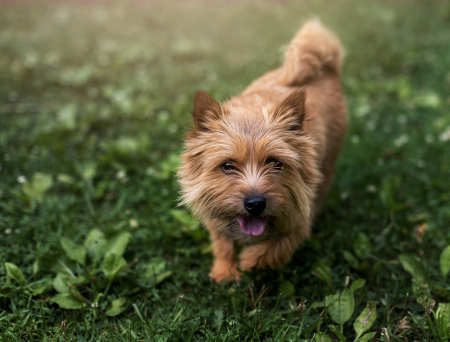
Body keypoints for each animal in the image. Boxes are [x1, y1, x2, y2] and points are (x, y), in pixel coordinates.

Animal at [178, 20, 348, 284]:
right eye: (227, 166)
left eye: (275, 163)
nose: (255, 203)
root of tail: (324, 68)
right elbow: (222, 241)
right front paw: (225, 270)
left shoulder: (300, 215)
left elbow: (277, 248)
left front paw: (249, 260)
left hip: (328, 164)